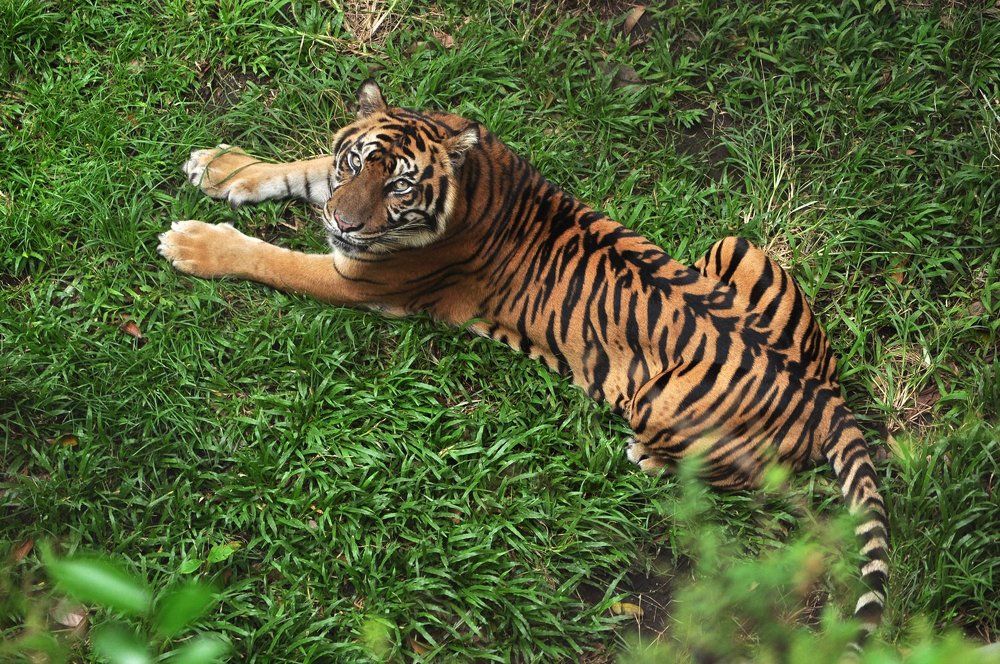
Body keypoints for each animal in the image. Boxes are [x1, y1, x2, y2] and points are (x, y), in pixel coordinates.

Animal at [158, 80, 889, 647]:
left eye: (400, 186)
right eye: (354, 164)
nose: (344, 223)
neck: (471, 182)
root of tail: (826, 396)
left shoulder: (360, 279)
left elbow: (273, 259)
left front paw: (193, 242)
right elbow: (296, 166)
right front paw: (221, 167)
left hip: (664, 404)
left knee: (737, 475)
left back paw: (647, 459)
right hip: (738, 246)